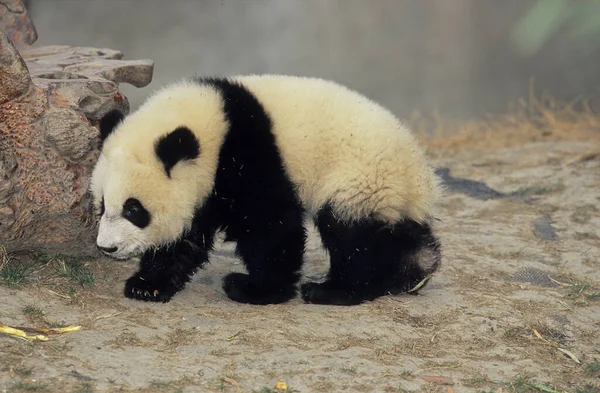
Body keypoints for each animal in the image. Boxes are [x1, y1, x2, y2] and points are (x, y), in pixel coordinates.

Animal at [91, 74, 442, 306]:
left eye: (134, 209)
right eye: (102, 205)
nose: (107, 248)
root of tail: (420, 178)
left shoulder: (249, 157)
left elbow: (270, 226)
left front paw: (256, 289)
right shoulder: (208, 184)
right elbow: (188, 236)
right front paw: (147, 284)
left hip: (360, 178)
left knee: (352, 235)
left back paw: (335, 290)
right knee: (395, 233)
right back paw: (410, 272)